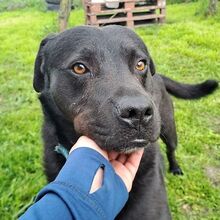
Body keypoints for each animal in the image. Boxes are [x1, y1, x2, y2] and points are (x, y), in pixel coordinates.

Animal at [34, 25, 218, 218]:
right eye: (79, 68)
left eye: (140, 64)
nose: (138, 112)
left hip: (169, 129)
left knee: (171, 150)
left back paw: (175, 168)